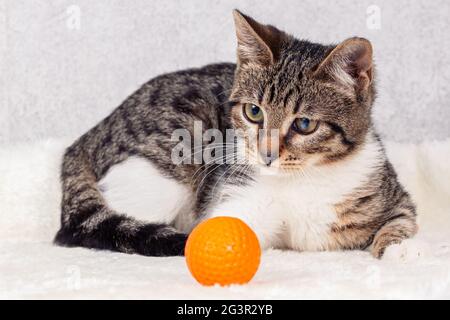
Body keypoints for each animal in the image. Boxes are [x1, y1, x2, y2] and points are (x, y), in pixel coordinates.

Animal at [55, 10, 418, 258]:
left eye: (304, 125)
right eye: (254, 112)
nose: (266, 155)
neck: (302, 180)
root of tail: (89, 136)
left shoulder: (390, 194)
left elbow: (401, 222)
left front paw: (400, 251)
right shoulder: (235, 194)